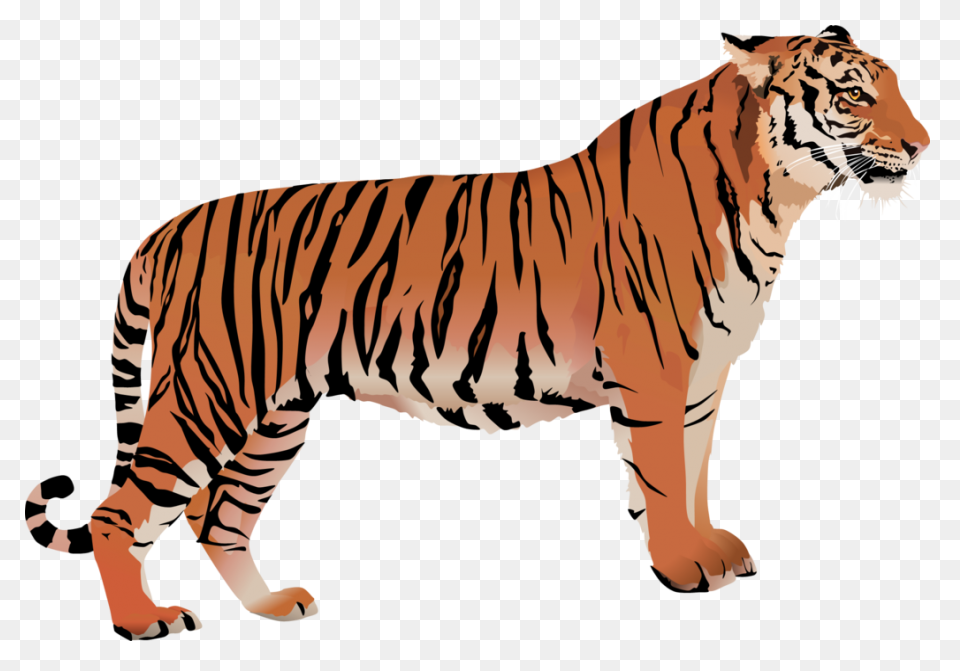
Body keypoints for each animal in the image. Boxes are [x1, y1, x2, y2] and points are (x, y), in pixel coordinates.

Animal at [25, 26, 929, 640]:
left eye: (894, 87)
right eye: (855, 95)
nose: (923, 146)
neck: (772, 198)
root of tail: (169, 227)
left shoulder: (707, 377)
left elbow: (696, 470)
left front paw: (711, 547)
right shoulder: (659, 373)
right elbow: (665, 476)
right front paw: (681, 566)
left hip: (277, 414)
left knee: (219, 512)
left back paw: (274, 606)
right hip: (211, 390)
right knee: (122, 510)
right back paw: (142, 620)